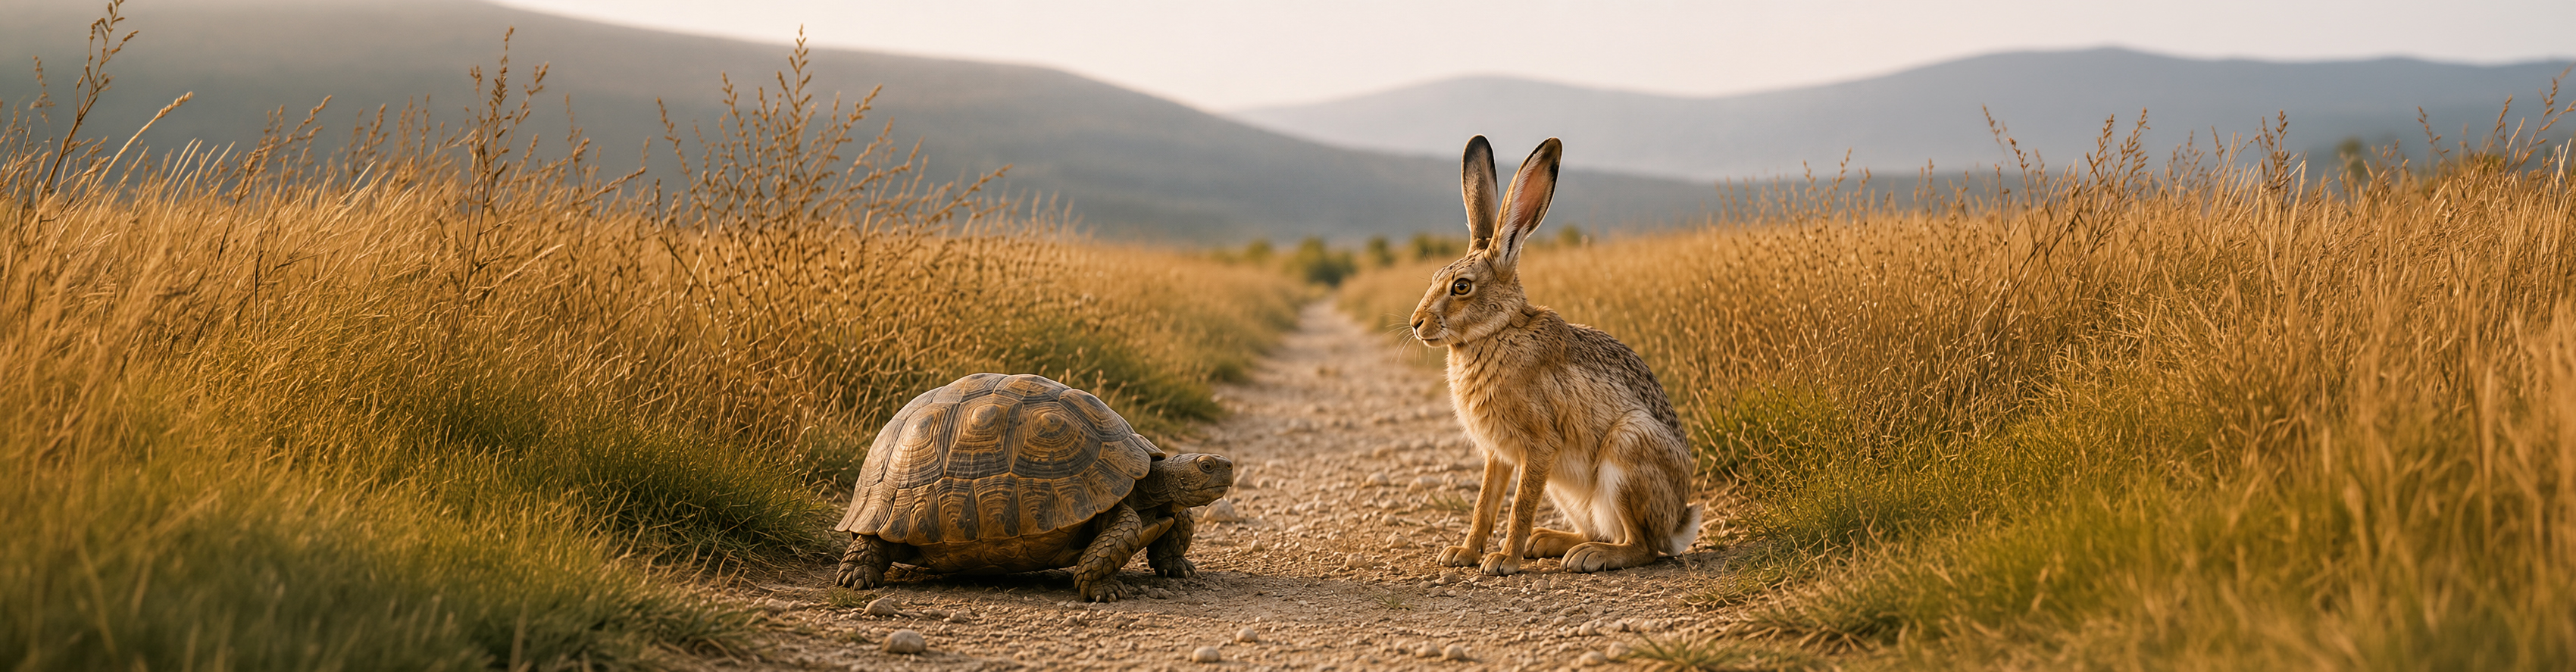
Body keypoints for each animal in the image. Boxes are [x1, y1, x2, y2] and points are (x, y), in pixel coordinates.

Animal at [1409, 135, 1704, 576]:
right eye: (1434, 279)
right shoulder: (1498, 455)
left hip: (1627, 452)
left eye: (1461, 287)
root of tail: (1678, 522)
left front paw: (1503, 561)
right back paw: (1549, 542)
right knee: (1602, 531)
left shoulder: (1539, 447)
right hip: (1567, 489)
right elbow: (1484, 504)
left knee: (1642, 546)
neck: (1495, 332)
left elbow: (1519, 506)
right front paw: (1463, 554)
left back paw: (1588, 557)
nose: (1416, 323)